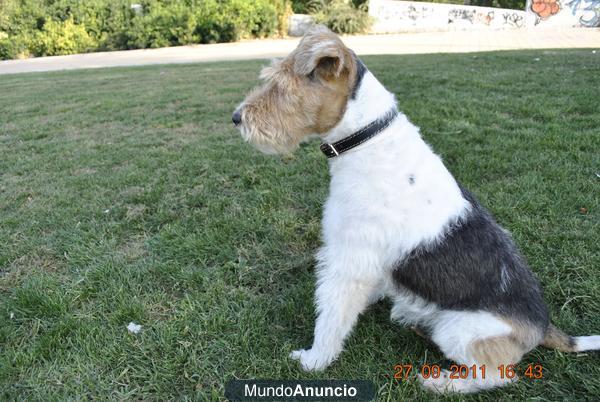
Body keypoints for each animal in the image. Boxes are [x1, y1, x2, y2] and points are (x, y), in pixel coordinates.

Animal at [232, 26, 596, 394]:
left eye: (281, 85)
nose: (236, 118)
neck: (367, 138)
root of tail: (542, 326)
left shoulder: (349, 259)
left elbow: (331, 316)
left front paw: (313, 360)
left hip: (458, 331)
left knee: (495, 375)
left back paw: (439, 381)